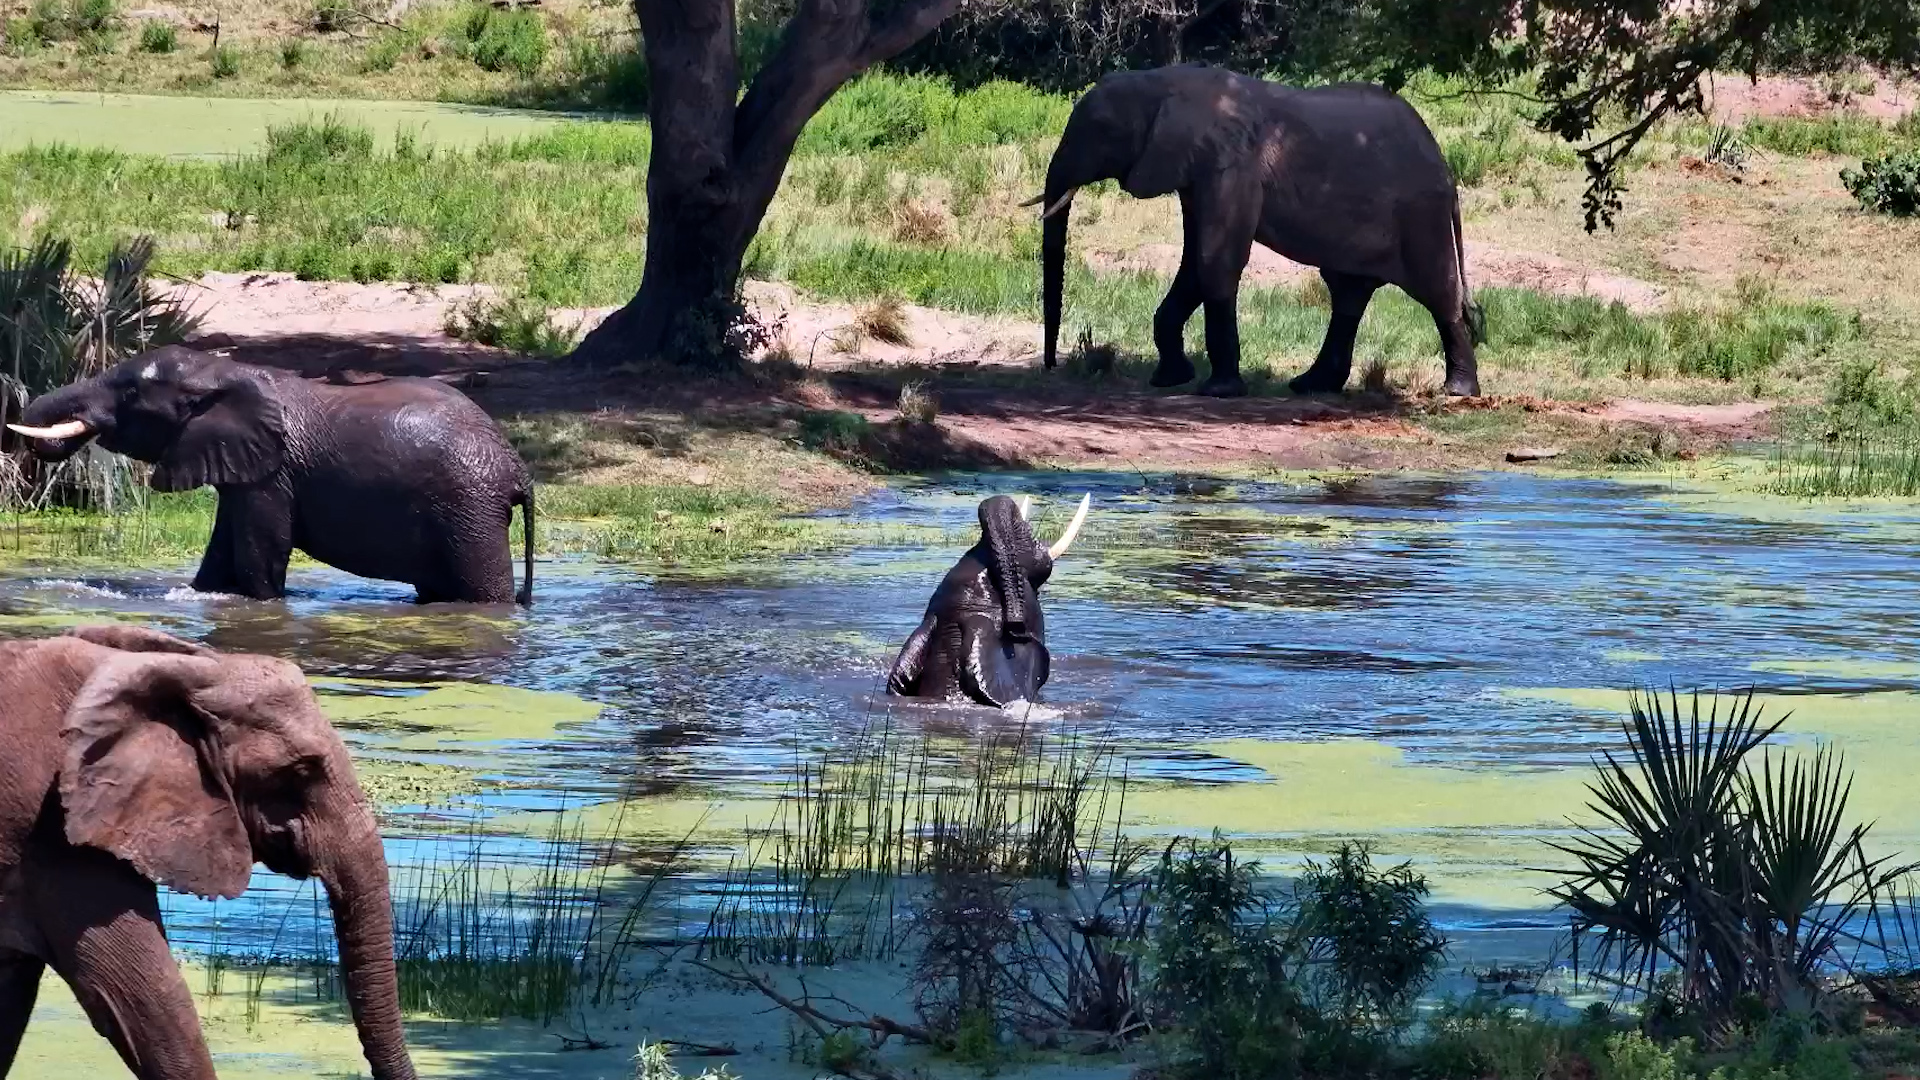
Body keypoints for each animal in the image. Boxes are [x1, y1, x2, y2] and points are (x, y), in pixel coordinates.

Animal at [9, 345, 534, 605]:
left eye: (132, 393)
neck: (225, 372)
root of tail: (518, 470)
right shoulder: (244, 470)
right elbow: (220, 561)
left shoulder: (274, 475)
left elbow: (260, 560)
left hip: (469, 510)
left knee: (482, 593)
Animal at [1032, 63, 1486, 399]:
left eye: (1102, 128)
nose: (1050, 366)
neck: (1166, 81)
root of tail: (1445, 165)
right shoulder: (1198, 172)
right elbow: (1194, 263)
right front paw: (1170, 379)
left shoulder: (1233, 168)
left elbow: (1215, 258)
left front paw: (1218, 391)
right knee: (1348, 292)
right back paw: (1312, 386)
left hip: (1420, 214)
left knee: (1436, 292)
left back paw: (1458, 391)